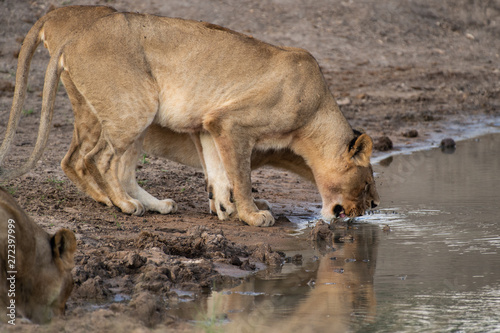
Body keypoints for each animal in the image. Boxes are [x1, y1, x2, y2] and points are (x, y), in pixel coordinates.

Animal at [0, 7, 378, 226]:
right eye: (367, 184)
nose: (373, 207)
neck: (316, 113)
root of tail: (74, 35)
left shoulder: (211, 124)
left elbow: (219, 173)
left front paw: (225, 209)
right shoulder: (234, 123)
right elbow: (240, 175)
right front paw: (253, 215)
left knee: (109, 166)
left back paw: (150, 205)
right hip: (136, 108)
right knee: (95, 160)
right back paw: (122, 204)